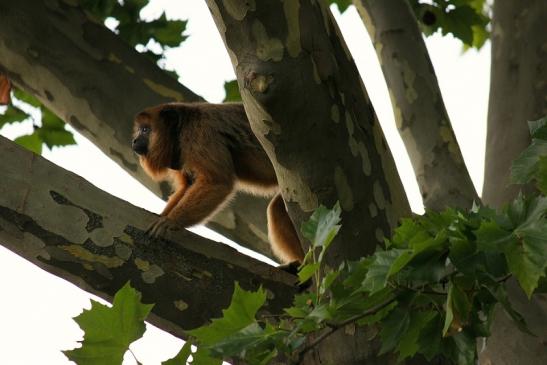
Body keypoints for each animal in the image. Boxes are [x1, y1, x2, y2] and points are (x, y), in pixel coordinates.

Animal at [131, 101, 306, 264]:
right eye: (139, 130)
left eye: (145, 130)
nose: (134, 141)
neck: (181, 128)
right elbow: (187, 187)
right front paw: (162, 216)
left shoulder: (200, 133)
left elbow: (217, 182)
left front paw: (171, 222)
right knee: (279, 208)